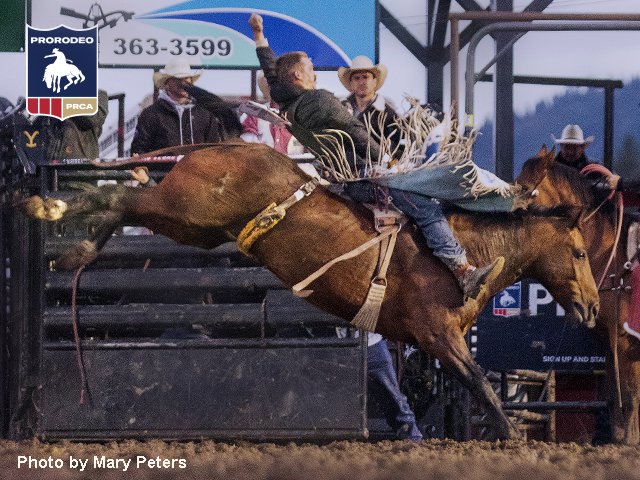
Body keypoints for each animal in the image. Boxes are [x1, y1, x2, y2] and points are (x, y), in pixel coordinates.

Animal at [20, 142, 600, 438]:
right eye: (579, 252)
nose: (594, 306)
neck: (468, 250)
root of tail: (225, 142)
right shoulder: (438, 333)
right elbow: (480, 380)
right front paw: (514, 438)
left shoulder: (430, 342)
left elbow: (461, 382)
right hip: (186, 210)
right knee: (124, 198)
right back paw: (57, 220)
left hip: (194, 227)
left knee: (128, 201)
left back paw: (69, 241)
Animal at [520, 147, 640, 446]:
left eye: (525, 187)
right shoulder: (609, 342)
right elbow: (612, 395)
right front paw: (617, 437)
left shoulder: (626, 342)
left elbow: (630, 395)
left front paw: (629, 440)